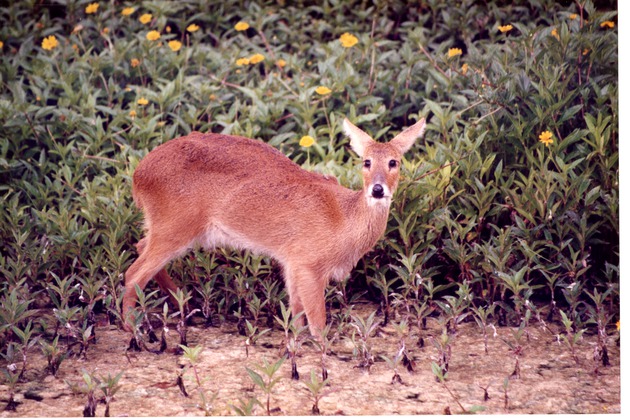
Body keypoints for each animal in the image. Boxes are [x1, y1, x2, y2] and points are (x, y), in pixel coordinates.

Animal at [122, 117, 430, 338]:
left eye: (394, 162)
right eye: (366, 161)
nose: (378, 189)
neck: (343, 219)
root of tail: (138, 175)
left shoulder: (291, 263)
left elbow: (296, 317)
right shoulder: (308, 264)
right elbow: (318, 325)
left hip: (171, 228)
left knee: (140, 248)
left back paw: (183, 305)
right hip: (175, 226)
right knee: (133, 272)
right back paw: (135, 330)